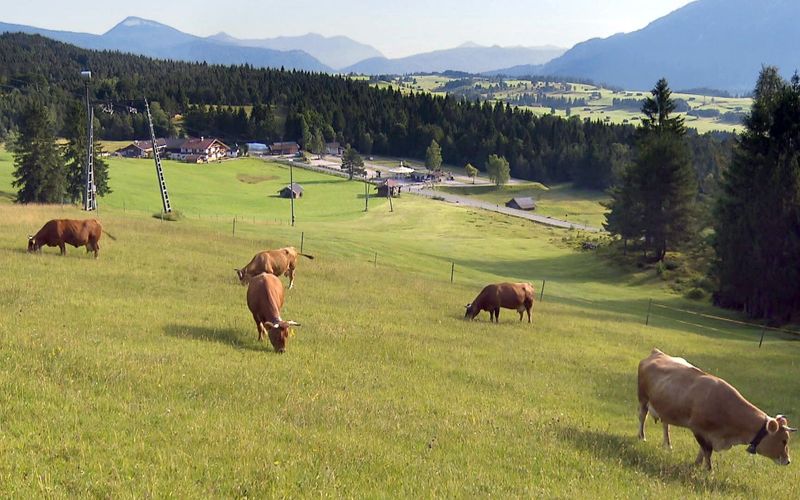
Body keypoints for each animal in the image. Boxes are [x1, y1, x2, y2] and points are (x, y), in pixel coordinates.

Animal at [636, 348, 792, 468]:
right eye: (784, 440)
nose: (788, 460)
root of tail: (657, 353)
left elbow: (702, 450)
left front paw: (697, 464)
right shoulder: (698, 428)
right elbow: (707, 450)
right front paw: (708, 470)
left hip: (666, 407)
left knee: (665, 425)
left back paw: (667, 445)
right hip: (643, 399)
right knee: (642, 417)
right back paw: (642, 437)